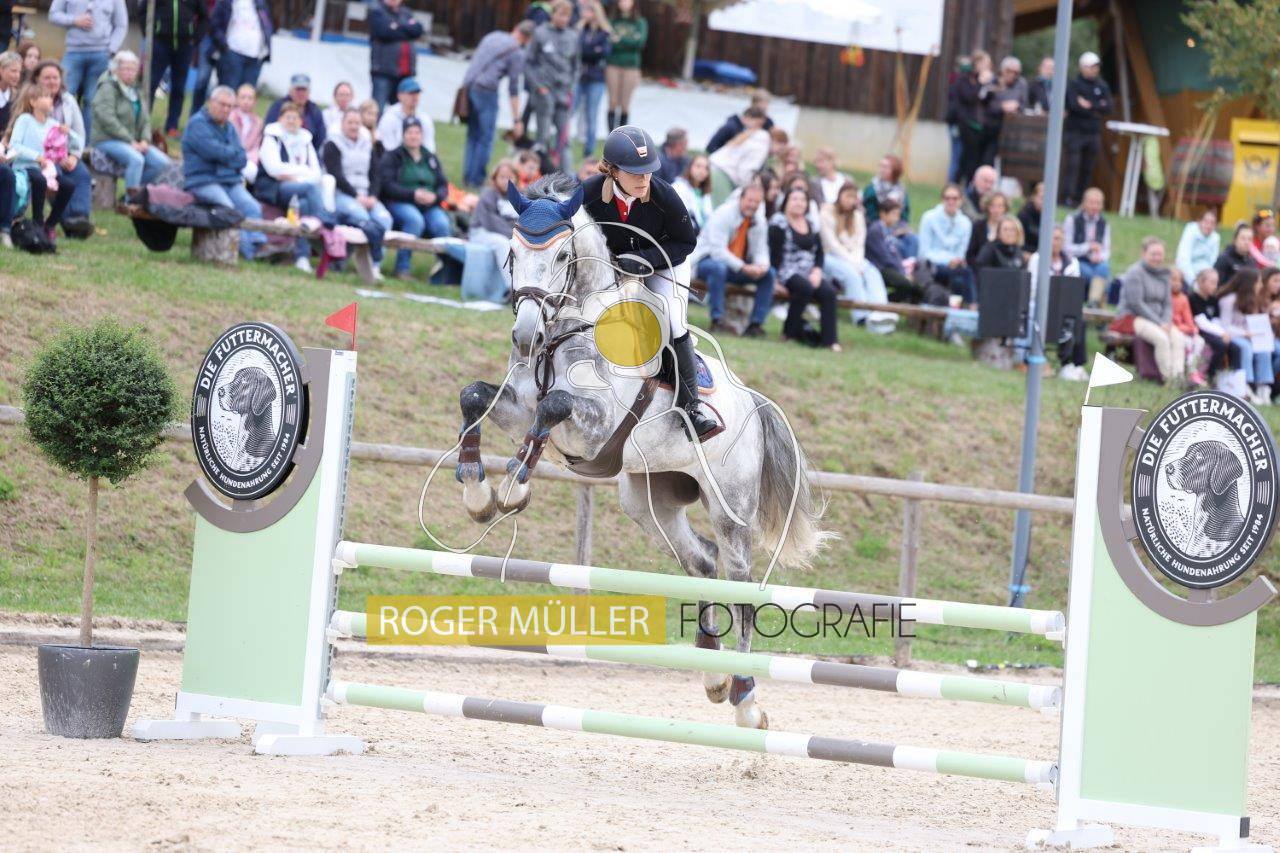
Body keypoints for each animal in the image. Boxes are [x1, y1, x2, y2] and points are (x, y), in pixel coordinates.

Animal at [452, 173, 828, 728]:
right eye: (511, 254)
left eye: (561, 255)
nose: (524, 337)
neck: (569, 328)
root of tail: (751, 403)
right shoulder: (519, 404)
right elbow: (475, 397)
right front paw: (479, 495)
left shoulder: (594, 426)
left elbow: (555, 406)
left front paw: (514, 487)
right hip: (650, 502)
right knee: (701, 561)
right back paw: (713, 675)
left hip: (731, 508)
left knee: (740, 588)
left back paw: (745, 699)